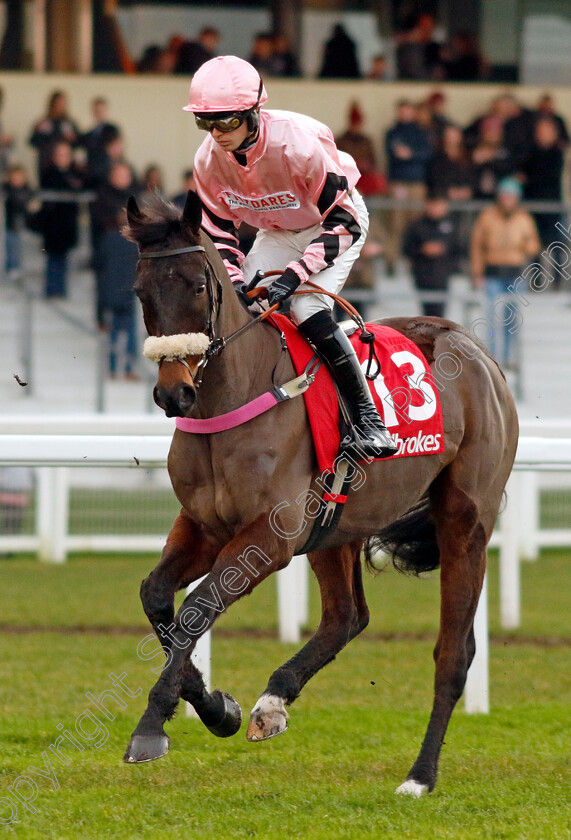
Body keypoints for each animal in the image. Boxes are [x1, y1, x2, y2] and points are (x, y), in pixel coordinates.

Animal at [120, 190, 520, 796]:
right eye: (142, 291)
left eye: (196, 285)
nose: (174, 393)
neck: (237, 392)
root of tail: (480, 351)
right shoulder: (204, 526)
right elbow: (157, 596)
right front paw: (218, 708)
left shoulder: (269, 536)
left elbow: (196, 608)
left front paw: (152, 724)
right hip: (338, 525)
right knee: (347, 616)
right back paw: (273, 701)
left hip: (465, 520)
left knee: (454, 653)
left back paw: (419, 776)